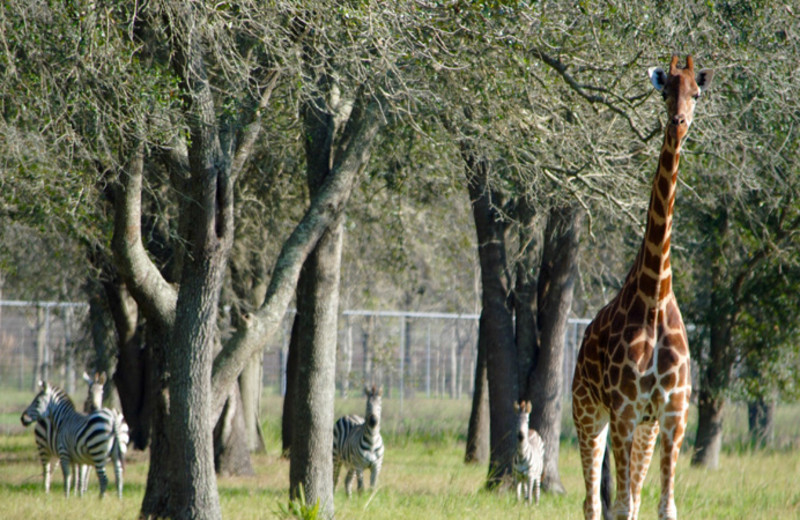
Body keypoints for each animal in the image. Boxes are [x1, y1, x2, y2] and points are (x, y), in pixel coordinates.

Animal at [576, 53, 712, 520]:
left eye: (696, 92)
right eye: (665, 89)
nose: (679, 122)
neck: (654, 294)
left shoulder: (673, 414)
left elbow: (664, 506)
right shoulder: (624, 409)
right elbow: (618, 506)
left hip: (646, 429)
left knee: (629, 496)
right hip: (588, 413)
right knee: (592, 501)